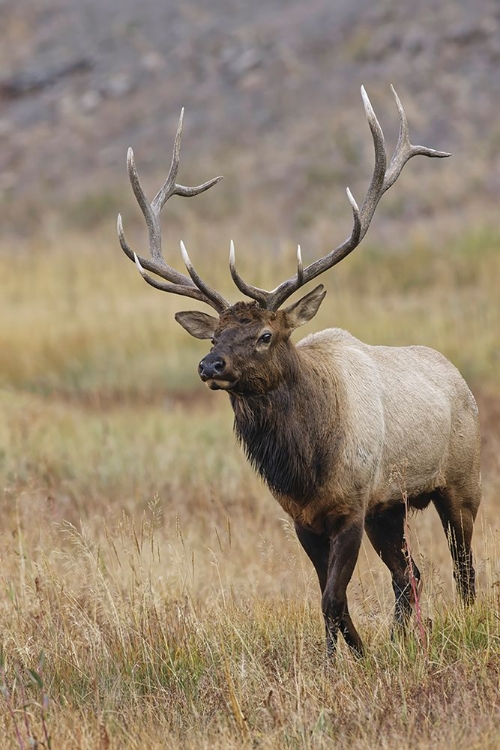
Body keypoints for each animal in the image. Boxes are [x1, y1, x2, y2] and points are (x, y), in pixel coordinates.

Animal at [117, 86, 480, 656]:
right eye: (216, 336)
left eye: (265, 336)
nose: (208, 364)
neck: (306, 464)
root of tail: (460, 379)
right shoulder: (304, 518)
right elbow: (328, 598)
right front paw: (343, 656)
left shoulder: (352, 507)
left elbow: (332, 596)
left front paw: (354, 656)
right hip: (391, 507)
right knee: (410, 573)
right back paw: (403, 638)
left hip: (462, 482)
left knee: (463, 567)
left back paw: (464, 619)